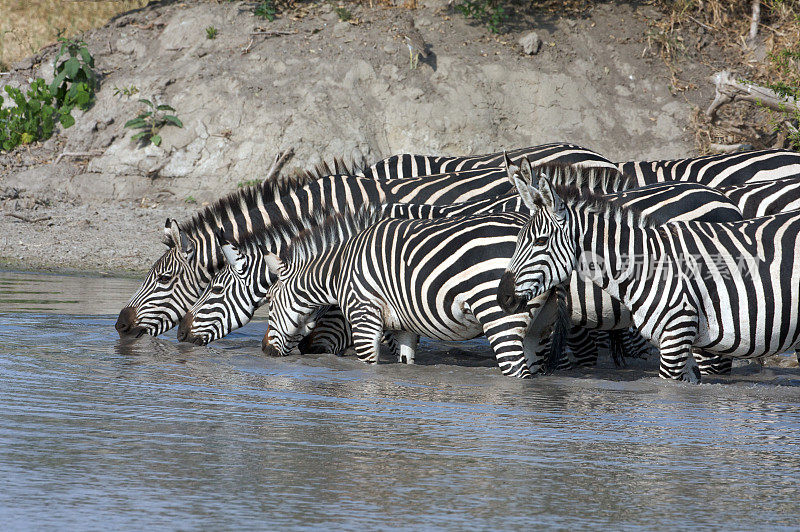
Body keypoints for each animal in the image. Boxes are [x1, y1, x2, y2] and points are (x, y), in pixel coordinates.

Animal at [496, 168, 800, 380]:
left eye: (540, 241)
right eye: (518, 239)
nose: (503, 297)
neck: (646, 265)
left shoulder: (676, 333)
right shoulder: (679, 342)